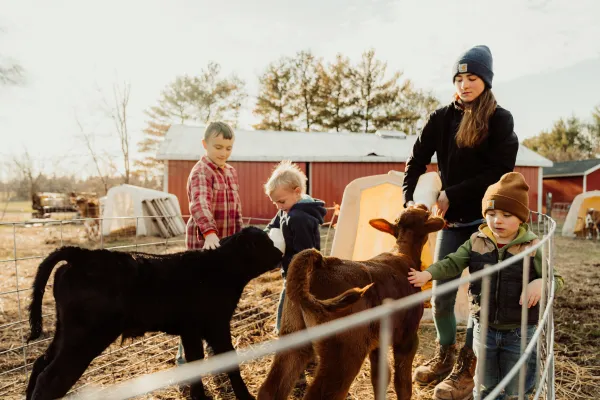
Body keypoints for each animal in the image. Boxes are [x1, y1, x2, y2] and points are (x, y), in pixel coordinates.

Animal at [258, 206, 446, 400]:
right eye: (426, 214)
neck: (402, 253)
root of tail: (322, 263)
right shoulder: (407, 337)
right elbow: (402, 383)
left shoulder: (378, 341)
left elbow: (380, 377)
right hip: (345, 353)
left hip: (293, 336)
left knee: (270, 389)